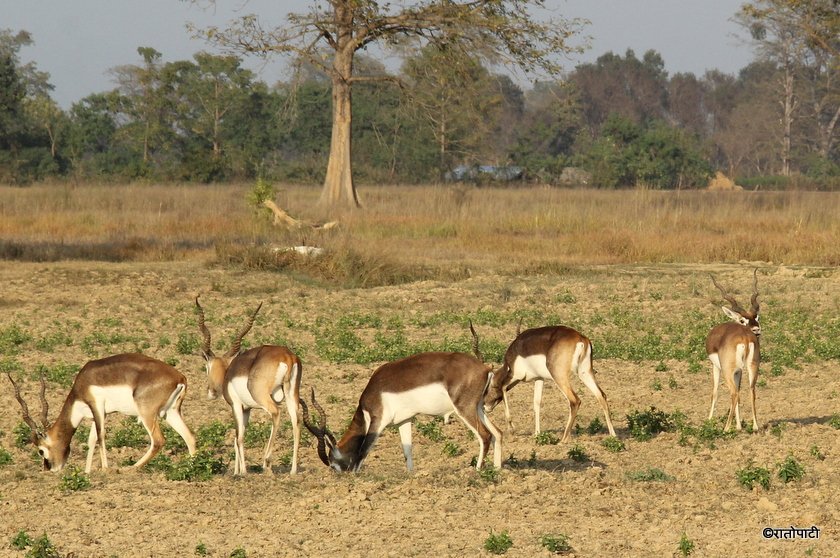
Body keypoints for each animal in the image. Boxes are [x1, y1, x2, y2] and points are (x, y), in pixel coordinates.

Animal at [6, 354, 197, 472]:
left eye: (41, 450)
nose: (50, 468)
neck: (84, 381)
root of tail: (180, 377)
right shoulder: (97, 414)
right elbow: (91, 440)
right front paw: (87, 472)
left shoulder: (97, 406)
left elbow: (101, 435)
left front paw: (105, 469)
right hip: (170, 413)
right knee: (190, 437)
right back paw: (192, 468)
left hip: (147, 413)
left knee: (158, 441)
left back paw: (130, 468)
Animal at [300, 352, 502, 474]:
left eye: (333, 464)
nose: (340, 475)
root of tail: (485, 368)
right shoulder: (404, 421)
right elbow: (407, 450)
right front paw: (411, 474)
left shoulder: (378, 421)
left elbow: (364, 449)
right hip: (478, 408)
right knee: (497, 433)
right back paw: (497, 468)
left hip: (464, 408)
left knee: (484, 435)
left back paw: (477, 470)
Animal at [482, 324, 612, 442]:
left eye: (486, 388)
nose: (485, 407)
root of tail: (580, 339)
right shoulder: (539, 378)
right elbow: (536, 403)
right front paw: (537, 434)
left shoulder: (515, 375)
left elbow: (503, 388)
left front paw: (511, 429)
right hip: (585, 373)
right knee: (601, 395)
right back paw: (612, 435)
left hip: (559, 376)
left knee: (575, 400)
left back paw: (563, 440)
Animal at [708, 272, 760, 434]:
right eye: (743, 320)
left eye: (756, 317)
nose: (757, 330)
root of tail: (745, 337)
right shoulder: (740, 371)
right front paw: (739, 426)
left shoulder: (716, 367)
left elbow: (715, 392)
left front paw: (709, 420)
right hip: (753, 367)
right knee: (751, 391)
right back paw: (755, 427)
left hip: (727, 370)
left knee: (734, 393)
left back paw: (725, 428)